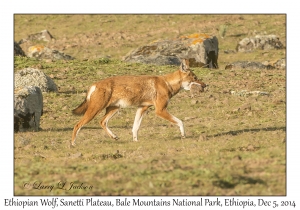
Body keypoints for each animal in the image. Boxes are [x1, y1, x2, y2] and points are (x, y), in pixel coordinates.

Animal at [71, 59, 206, 146]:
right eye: (195, 78)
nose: (206, 85)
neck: (167, 84)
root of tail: (94, 84)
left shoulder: (142, 108)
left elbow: (135, 128)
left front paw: (135, 141)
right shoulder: (160, 110)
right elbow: (181, 122)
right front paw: (183, 135)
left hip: (114, 109)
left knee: (102, 122)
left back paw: (114, 137)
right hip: (95, 111)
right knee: (77, 125)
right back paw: (73, 144)